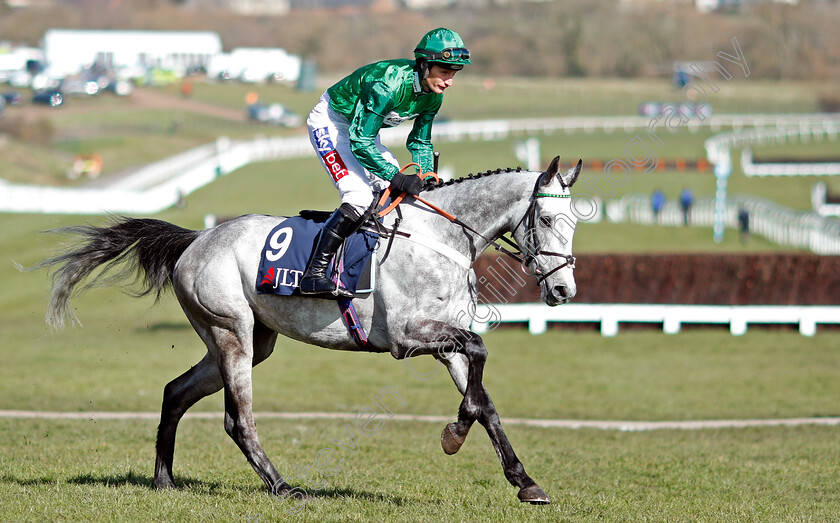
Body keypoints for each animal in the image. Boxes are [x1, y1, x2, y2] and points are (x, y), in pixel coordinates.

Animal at [37, 157, 576, 508]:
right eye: (548, 219)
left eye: (576, 221)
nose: (564, 289)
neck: (440, 239)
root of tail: (198, 238)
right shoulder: (408, 338)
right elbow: (479, 356)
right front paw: (455, 434)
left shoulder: (447, 343)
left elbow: (483, 399)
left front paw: (522, 479)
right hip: (232, 333)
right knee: (237, 420)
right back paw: (282, 487)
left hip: (251, 341)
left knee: (176, 391)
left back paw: (164, 480)